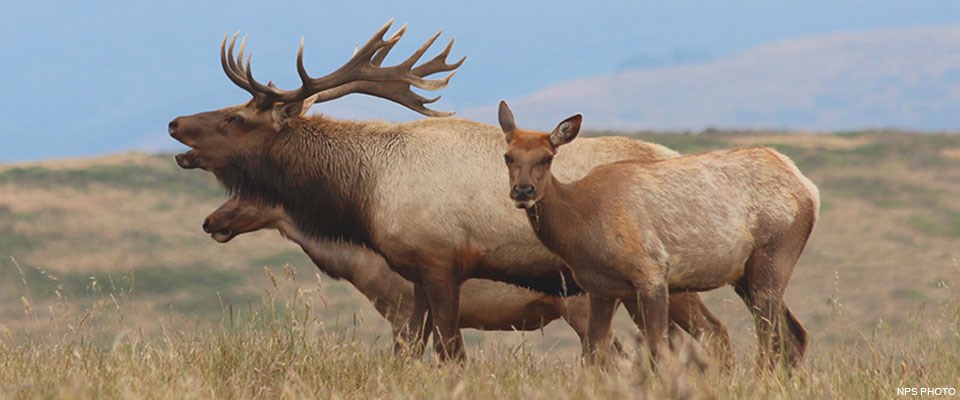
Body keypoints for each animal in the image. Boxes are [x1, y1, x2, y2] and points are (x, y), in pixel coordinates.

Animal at [169, 18, 732, 362]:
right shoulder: (414, 274)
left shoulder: (440, 264)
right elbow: (411, 356)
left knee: (712, 333)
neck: (366, 192)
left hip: (650, 277)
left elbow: (451, 354)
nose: (175, 123)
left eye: (235, 118)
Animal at [496, 101, 816, 370]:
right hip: (743, 275)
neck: (581, 227)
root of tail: (808, 188)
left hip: (774, 255)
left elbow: (658, 351)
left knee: (769, 337)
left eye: (547, 157)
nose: (523, 191)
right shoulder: (601, 288)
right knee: (793, 333)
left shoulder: (651, 273)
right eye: (508, 156)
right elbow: (595, 353)